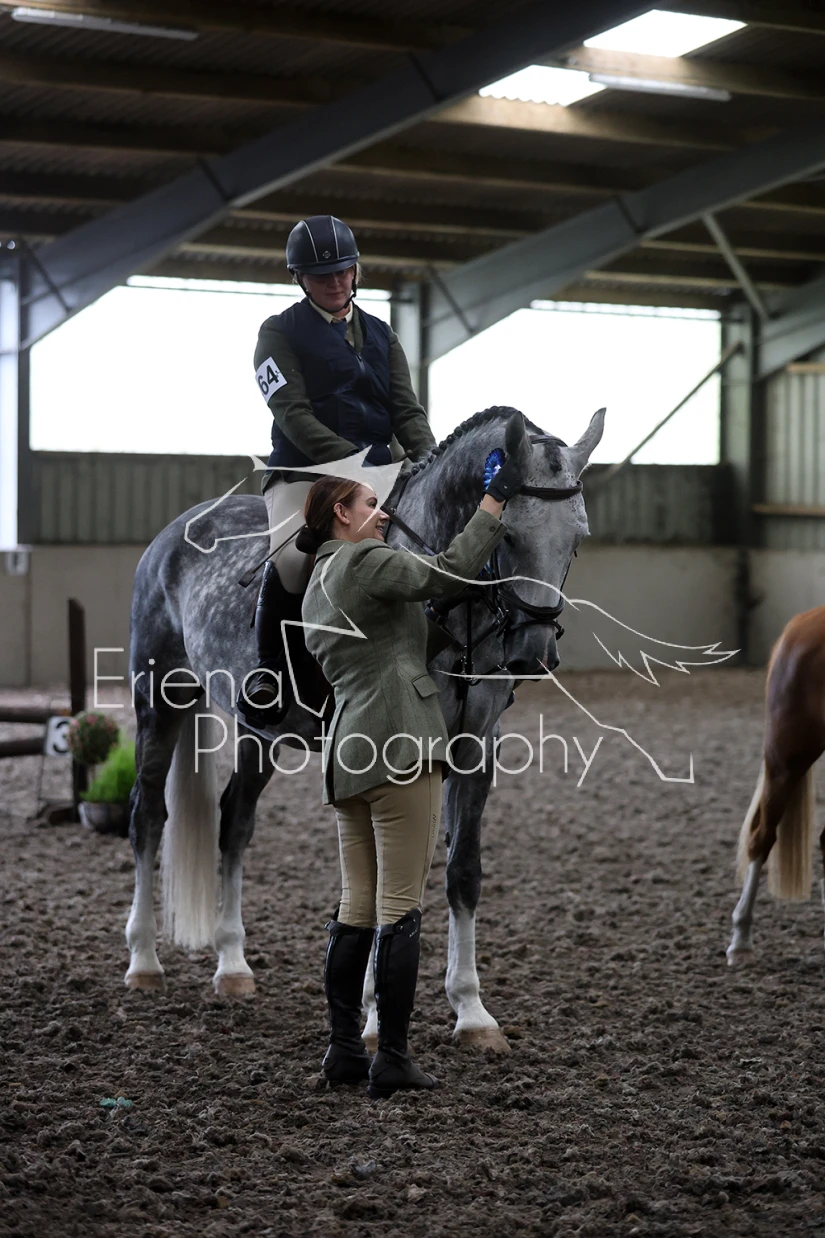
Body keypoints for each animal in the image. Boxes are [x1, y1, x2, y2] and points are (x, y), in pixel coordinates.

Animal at [124, 404, 604, 1051]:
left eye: (576, 540)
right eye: (508, 536)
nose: (533, 655)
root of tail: (174, 533)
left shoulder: (475, 751)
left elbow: (462, 873)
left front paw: (472, 1012)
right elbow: (381, 878)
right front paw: (376, 1020)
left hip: (258, 734)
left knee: (235, 821)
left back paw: (233, 967)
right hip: (159, 699)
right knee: (148, 815)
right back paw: (144, 963)